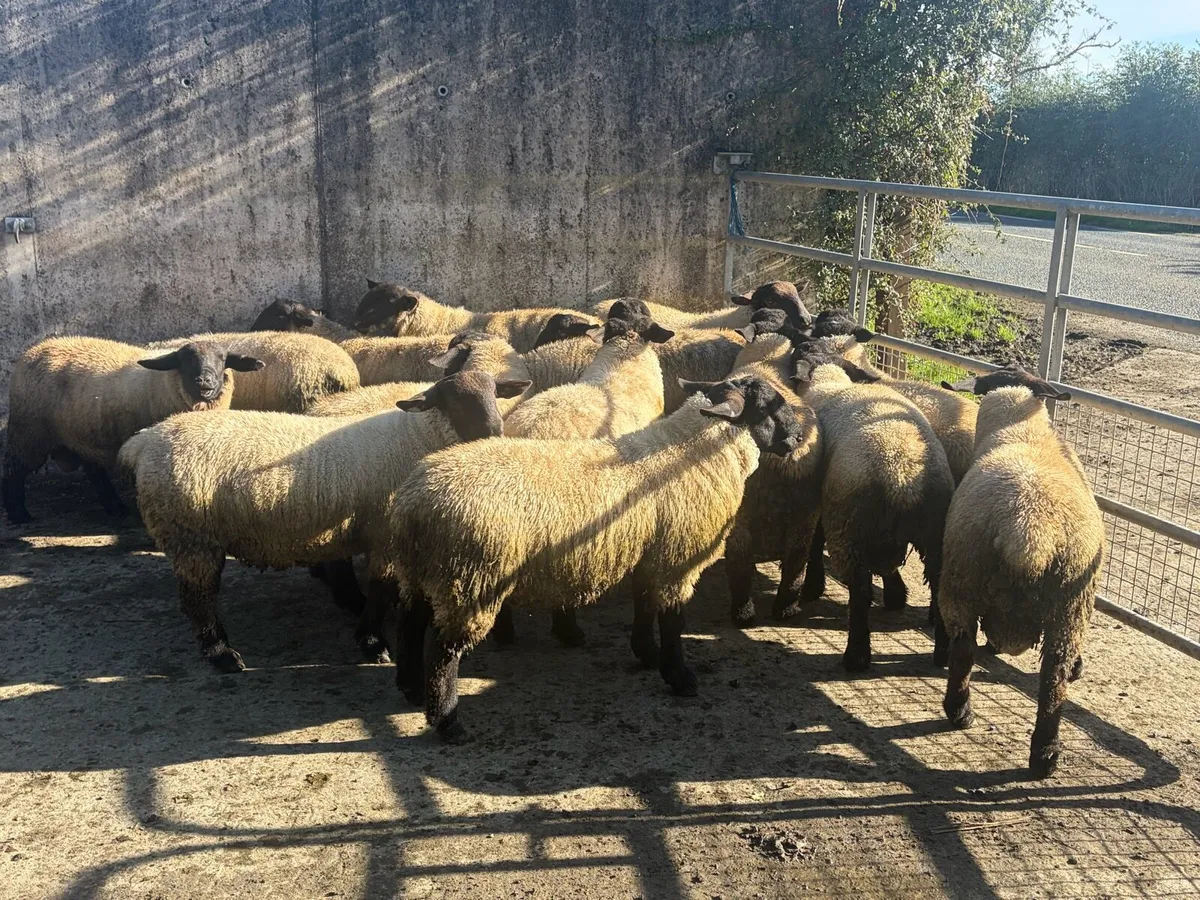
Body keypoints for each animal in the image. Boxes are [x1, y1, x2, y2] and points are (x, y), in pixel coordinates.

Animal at [2, 337, 263, 524]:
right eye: (184, 360)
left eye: (222, 359)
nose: (204, 381)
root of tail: (32, 352)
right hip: (28, 434)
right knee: (13, 470)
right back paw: (18, 514)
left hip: (82, 435)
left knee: (94, 471)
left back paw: (114, 507)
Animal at [117, 371, 531, 672]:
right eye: (452, 400)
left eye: (496, 393)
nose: (495, 433)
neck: (415, 436)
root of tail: (144, 441)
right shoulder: (384, 534)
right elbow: (381, 590)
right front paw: (372, 642)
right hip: (190, 535)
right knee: (198, 598)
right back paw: (221, 655)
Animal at [383, 375, 807, 741]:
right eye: (769, 405)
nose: (800, 437)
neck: (688, 451)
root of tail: (416, 502)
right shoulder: (677, 559)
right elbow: (673, 621)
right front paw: (680, 676)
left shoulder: (649, 553)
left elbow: (644, 607)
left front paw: (647, 654)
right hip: (470, 578)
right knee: (442, 650)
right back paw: (447, 722)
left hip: (422, 572)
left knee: (408, 623)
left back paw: (409, 687)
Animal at [790, 338, 955, 672]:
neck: (828, 379)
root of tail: (903, 475)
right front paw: (896, 595)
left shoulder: (823, 503)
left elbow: (815, 542)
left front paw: (813, 586)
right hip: (932, 531)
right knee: (935, 581)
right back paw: (942, 653)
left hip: (850, 528)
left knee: (859, 588)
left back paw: (856, 655)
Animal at [936, 365, 1102, 778]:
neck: (1022, 433)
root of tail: (1029, 530)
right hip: (1064, 605)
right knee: (1050, 678)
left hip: (972, 578)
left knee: (967, 650)